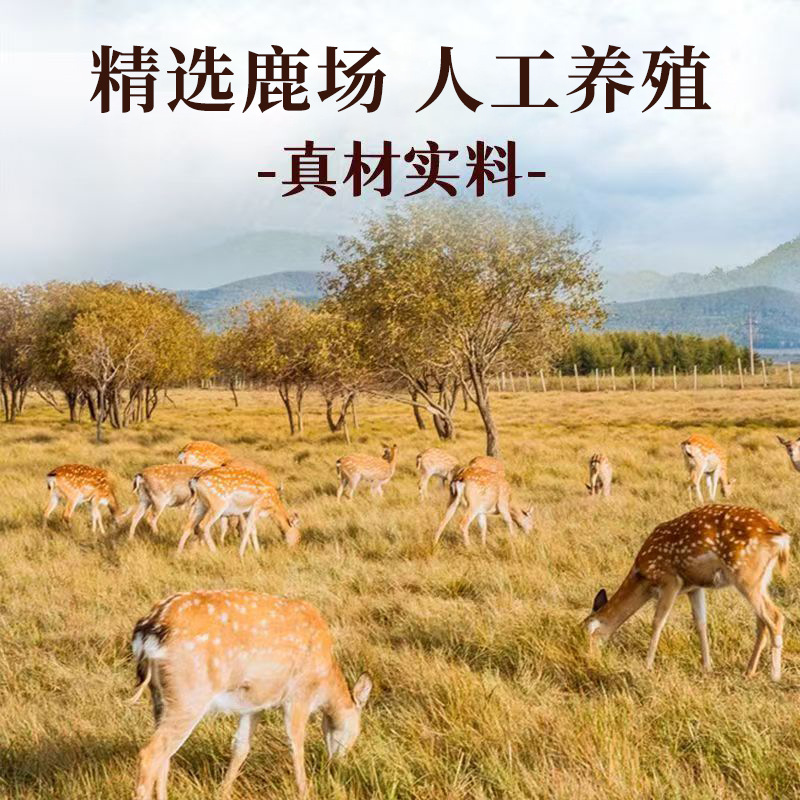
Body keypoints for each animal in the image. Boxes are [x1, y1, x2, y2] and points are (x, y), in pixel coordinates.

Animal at [130, 589, 373, 799]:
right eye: (357, 730)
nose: (336, 764)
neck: (324, 683)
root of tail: (150, 629)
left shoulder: (255, 701)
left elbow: (241, 746)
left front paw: (223, 792)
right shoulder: (298, 694)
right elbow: (296, 743)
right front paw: (304, 792)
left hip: (161, 697)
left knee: (165, 755)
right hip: (189, 693)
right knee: (151, 754)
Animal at [584, 504, 790, 680]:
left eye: (587, 634)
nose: (589, 661)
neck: (643, 577)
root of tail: (781, 536)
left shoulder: (670, 580)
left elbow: (658, 621)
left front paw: (647, 666)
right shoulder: (694, 587)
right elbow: (701, 623)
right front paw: (707, 667)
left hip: (745, 574)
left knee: (775, 616)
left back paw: (775, 675)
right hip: (761, 579)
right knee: (762, 621)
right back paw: (749, 671)